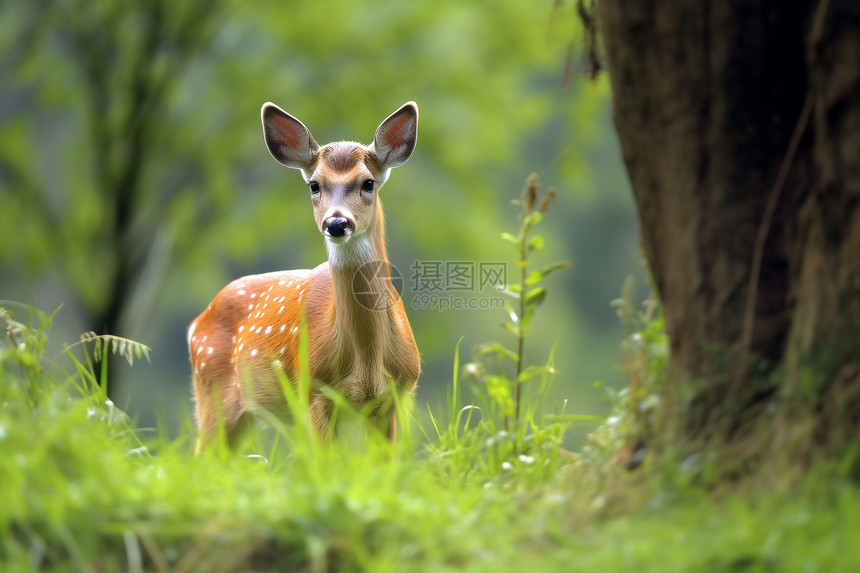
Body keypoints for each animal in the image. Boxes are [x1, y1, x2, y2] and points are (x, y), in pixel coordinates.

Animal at [191, 101, 426, 452]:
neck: (367, 362)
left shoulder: (395, 396)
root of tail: (197, 321)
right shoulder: (314, 392)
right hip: (211, 393)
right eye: (314, 185)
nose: (336, 223)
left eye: (368, 183)